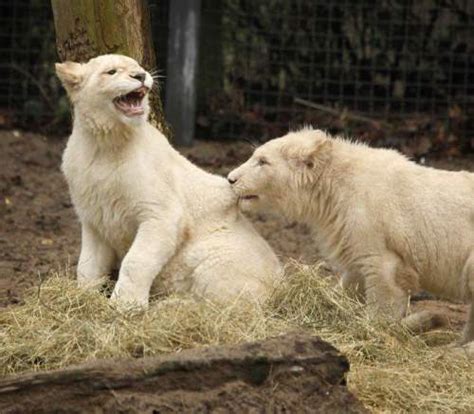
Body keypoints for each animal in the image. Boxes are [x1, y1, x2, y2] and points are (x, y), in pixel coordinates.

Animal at [57, 54, 284, 308]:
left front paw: (125, 305)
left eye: (137, 66)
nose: (141, 75)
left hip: (218, 255)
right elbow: (87, 264)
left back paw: (167, 306)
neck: (105, 143)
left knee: (225, 305)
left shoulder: (163, 214)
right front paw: (81, 297)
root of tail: (282, 284)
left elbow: (136, 260)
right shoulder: (94, 217)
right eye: (111, 71)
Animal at [228, 127, 472, 346]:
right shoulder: (350, 234)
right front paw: (325, 304)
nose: (231, 179)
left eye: (262, 161)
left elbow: (384, 286)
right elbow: (353, 277)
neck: (336, 184)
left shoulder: (376, 235)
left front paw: (374, 331)